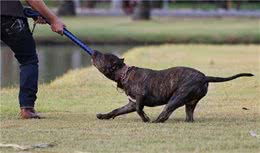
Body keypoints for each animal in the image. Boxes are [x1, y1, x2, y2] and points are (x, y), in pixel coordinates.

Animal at [91, 50, 252, 123]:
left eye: (102, 56)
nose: (94, 51)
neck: (124, 74)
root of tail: (204, 77)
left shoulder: (140, 98)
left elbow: (139, 110)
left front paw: (145, 118)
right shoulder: (131, 103)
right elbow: (117, 110)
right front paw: (104, 116)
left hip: (176, 98)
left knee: (165, 113)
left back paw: (155, 121)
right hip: (189, 102)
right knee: (189, 116)